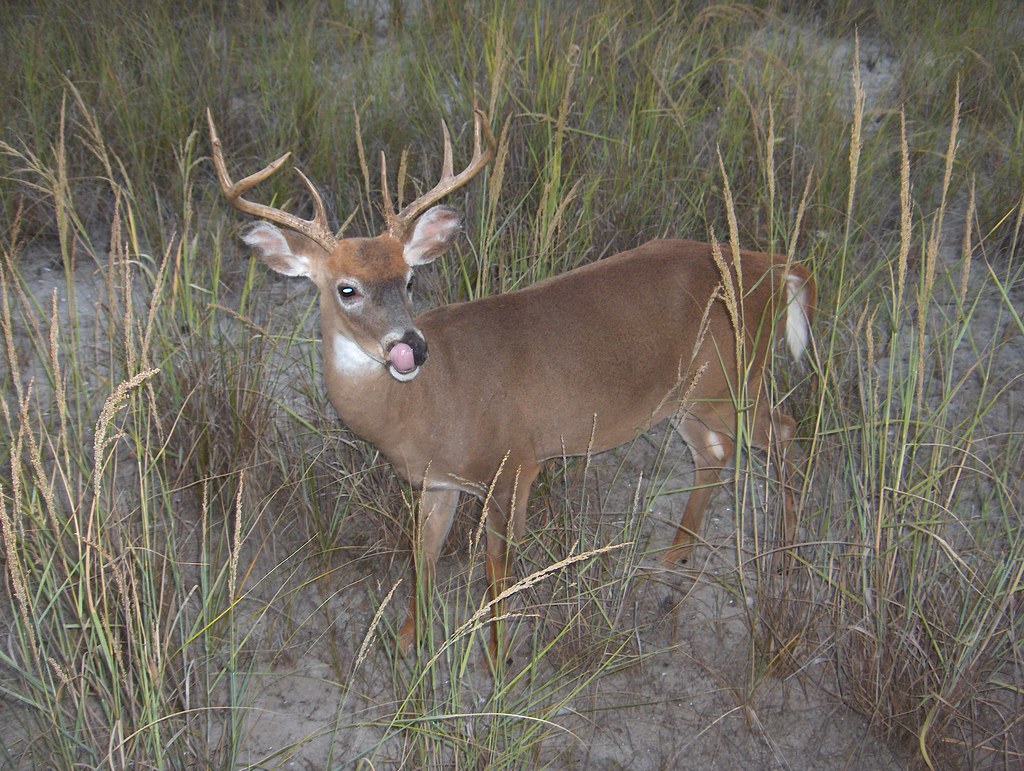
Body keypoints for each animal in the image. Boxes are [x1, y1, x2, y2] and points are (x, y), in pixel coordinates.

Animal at [207, 108, 815, 666]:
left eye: (409, 278)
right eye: (347, 289)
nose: (411, 347)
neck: (426, 404)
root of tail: (777, 265)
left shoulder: (515, 461)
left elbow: (497, 570)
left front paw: (497, 659)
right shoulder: (438, 480)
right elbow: (423, 556)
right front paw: (405, 642)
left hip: (732, 379)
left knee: (786, 431)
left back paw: (786, 557)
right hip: (686, 397)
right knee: (715, 452)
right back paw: (676, 557)